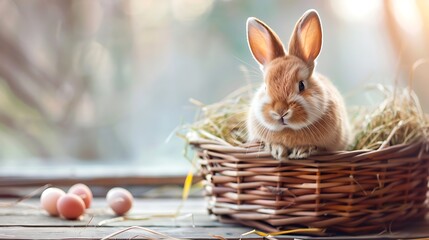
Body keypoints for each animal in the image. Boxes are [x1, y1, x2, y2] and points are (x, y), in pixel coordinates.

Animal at [246, 9, 350, 159]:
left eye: (301, 85)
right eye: (265, 87)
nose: (280, 111)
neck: (288, 129)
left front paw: (301, 151)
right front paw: (277, 150)